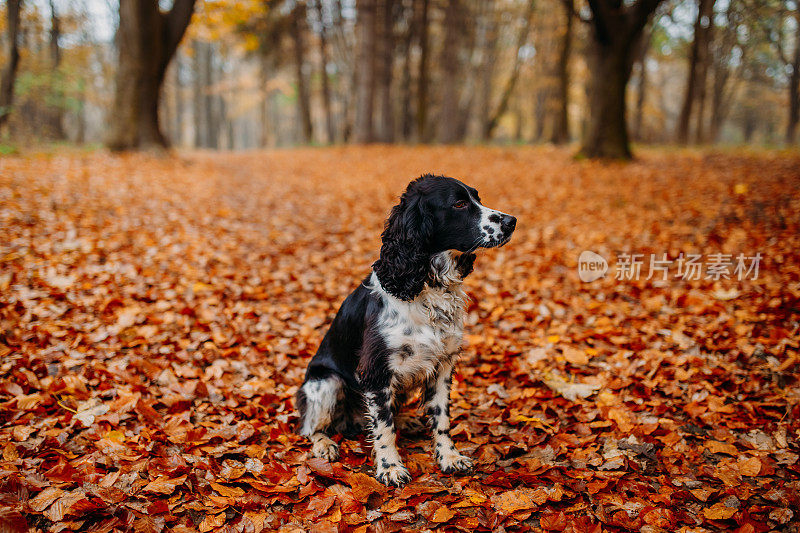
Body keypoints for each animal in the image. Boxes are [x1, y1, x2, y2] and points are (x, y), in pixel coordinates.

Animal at [296, 172, 516, 484]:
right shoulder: (376, 371)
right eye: (459, 204)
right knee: (311, 427)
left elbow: (442, 418)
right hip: (326, 382)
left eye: (478, 198)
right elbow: (383, 427)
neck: (426, 285)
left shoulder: (443, 365)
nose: (512, 221)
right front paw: (390, 468)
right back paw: (325, 445)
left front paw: (449, 457)